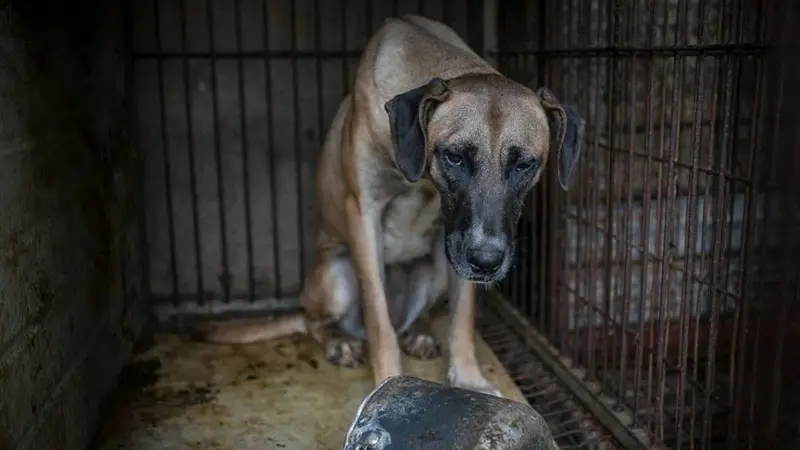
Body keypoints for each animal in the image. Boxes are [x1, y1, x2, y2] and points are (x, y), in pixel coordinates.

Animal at [197, 14, 584, 398]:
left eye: (525, 164)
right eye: (455, 157)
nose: (487, 261)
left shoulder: (458, 244)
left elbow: (463, 315)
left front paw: (468, 378)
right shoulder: (364, 214)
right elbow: (378, 318)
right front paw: (387, 380)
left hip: (437, 267)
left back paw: (419, 333)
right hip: (335, 274)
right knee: (316, 321)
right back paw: (340, 341)